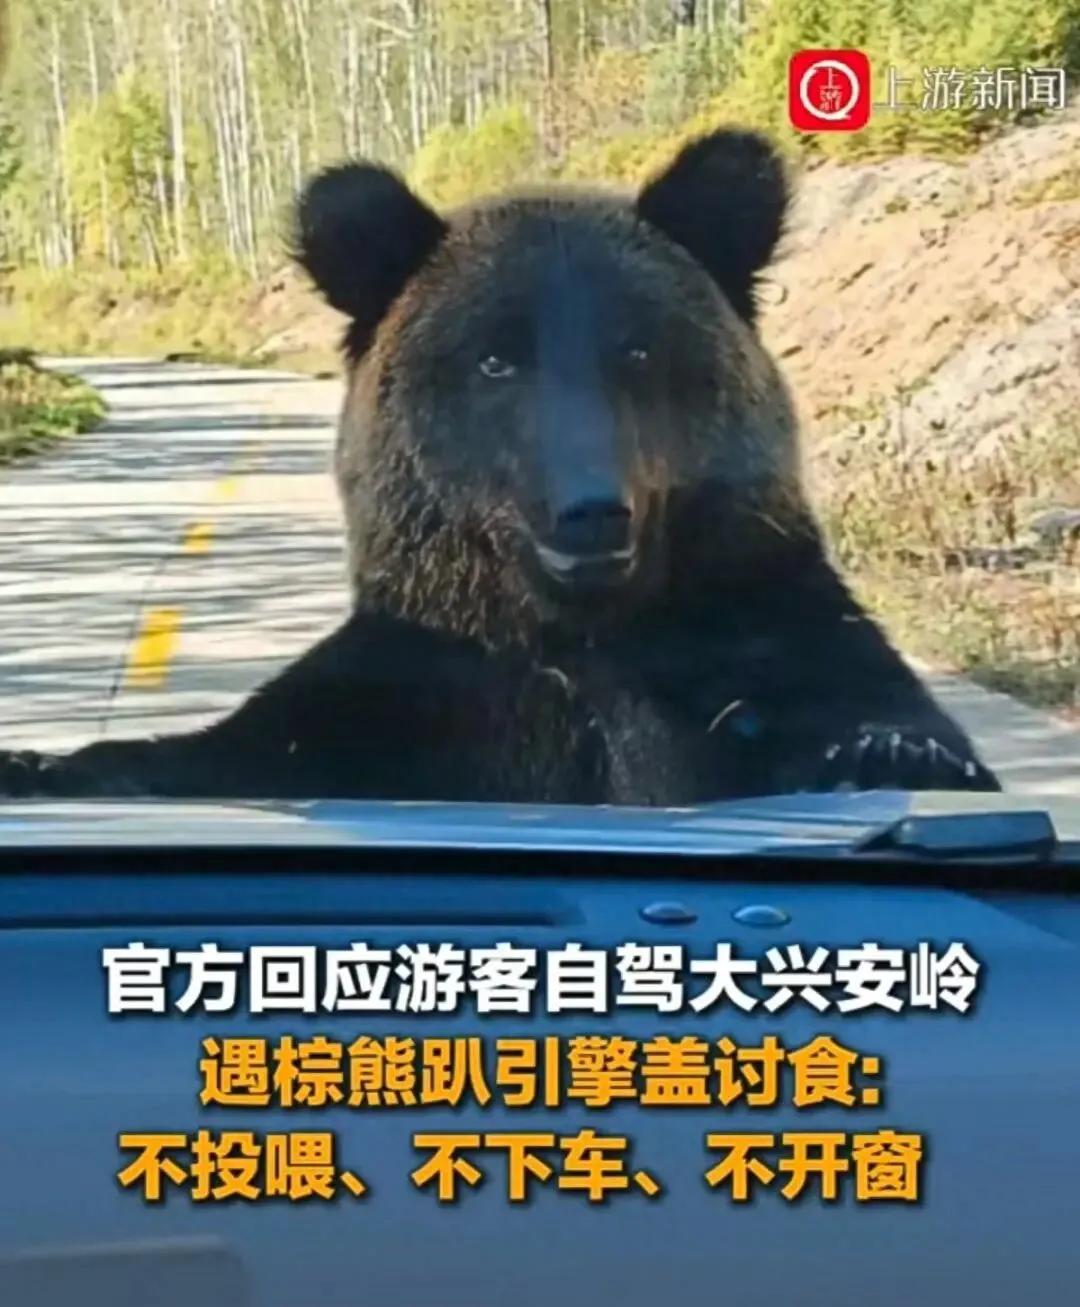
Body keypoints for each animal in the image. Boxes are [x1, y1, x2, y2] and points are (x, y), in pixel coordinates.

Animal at [0, 126, 1001, 805]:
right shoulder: (416, 693)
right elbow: (221, 751)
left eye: (638, 349)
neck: (576, 633)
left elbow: (865, 715)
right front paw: (36, 761)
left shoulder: (761, 639)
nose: (591, 509)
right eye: (494, 359)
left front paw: (889, 754)